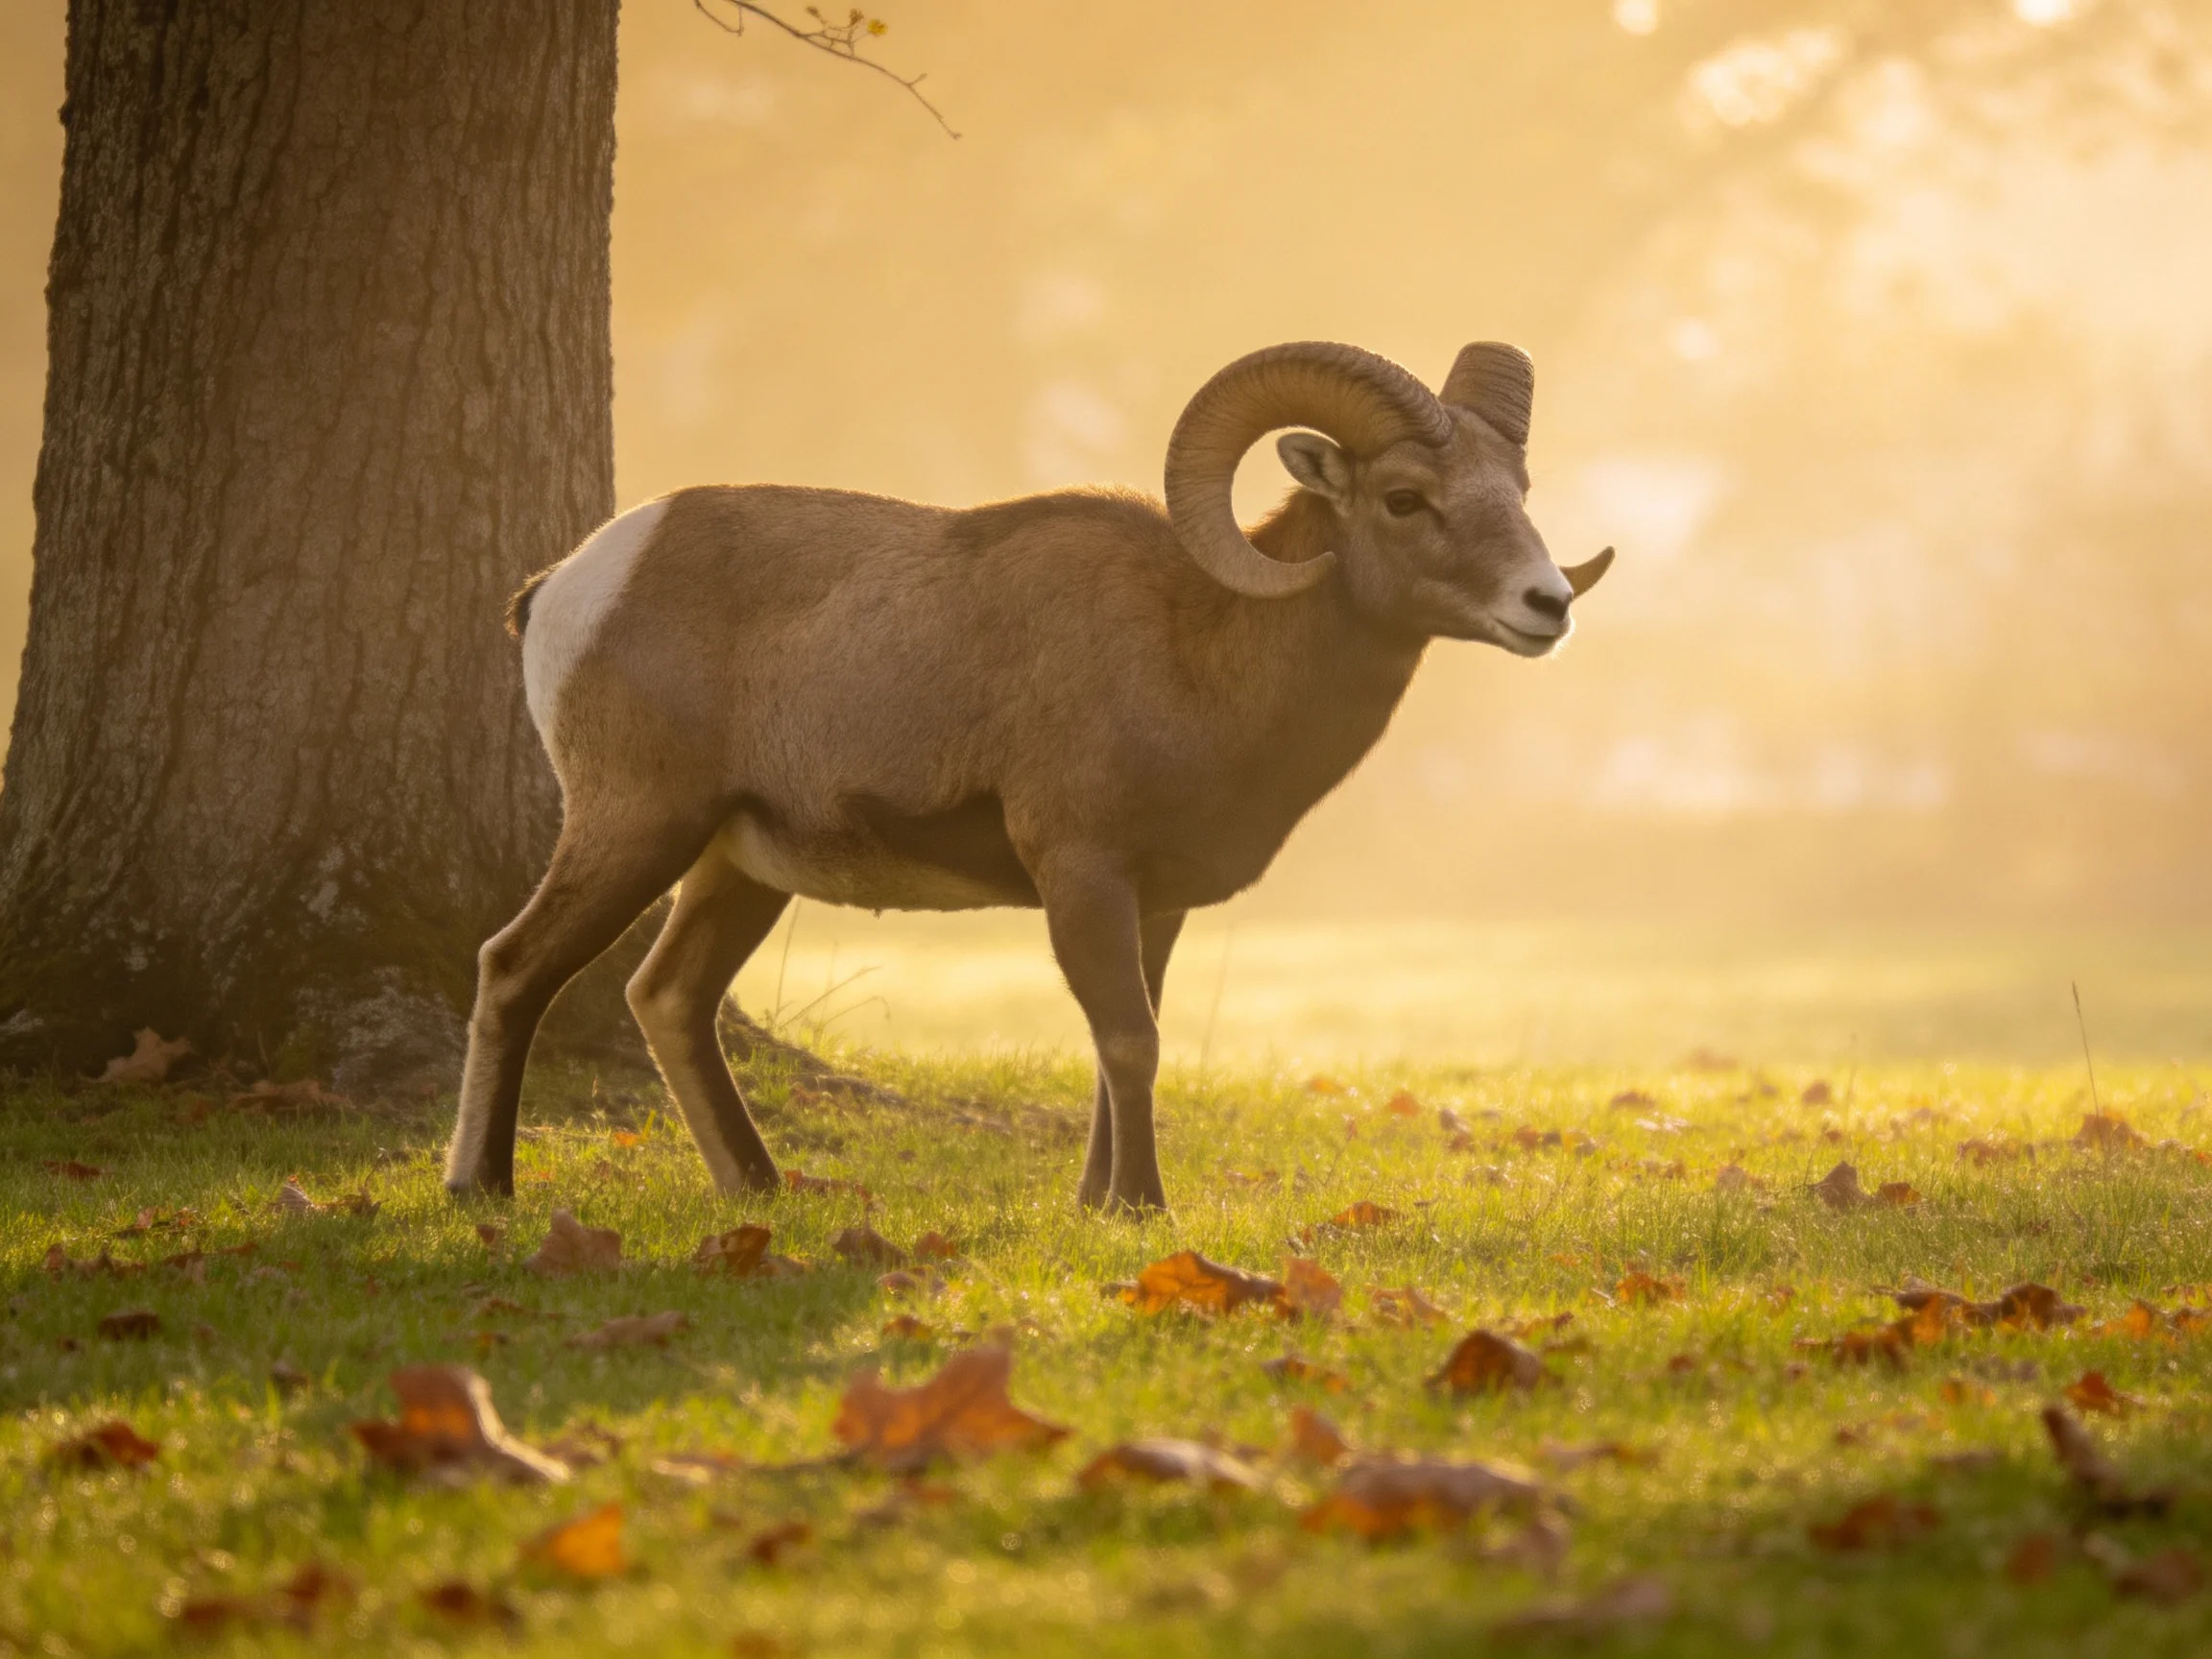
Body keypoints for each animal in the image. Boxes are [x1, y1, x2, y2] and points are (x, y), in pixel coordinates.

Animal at [443, 340, 1613, 1213]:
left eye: (1518, 490)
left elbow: (1121, 1045)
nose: (1547, 605)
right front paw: (1142, 1211)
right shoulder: (1083, 874)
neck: (1199, 650)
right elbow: (1129, 1041)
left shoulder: (1156, 904)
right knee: (515, 966)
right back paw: (480, 1188)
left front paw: (1098, 1204)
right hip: (636, 826)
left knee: (668, 996)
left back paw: (761, 1190)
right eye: (1406, 499)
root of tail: (565, 586)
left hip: (739, 866)